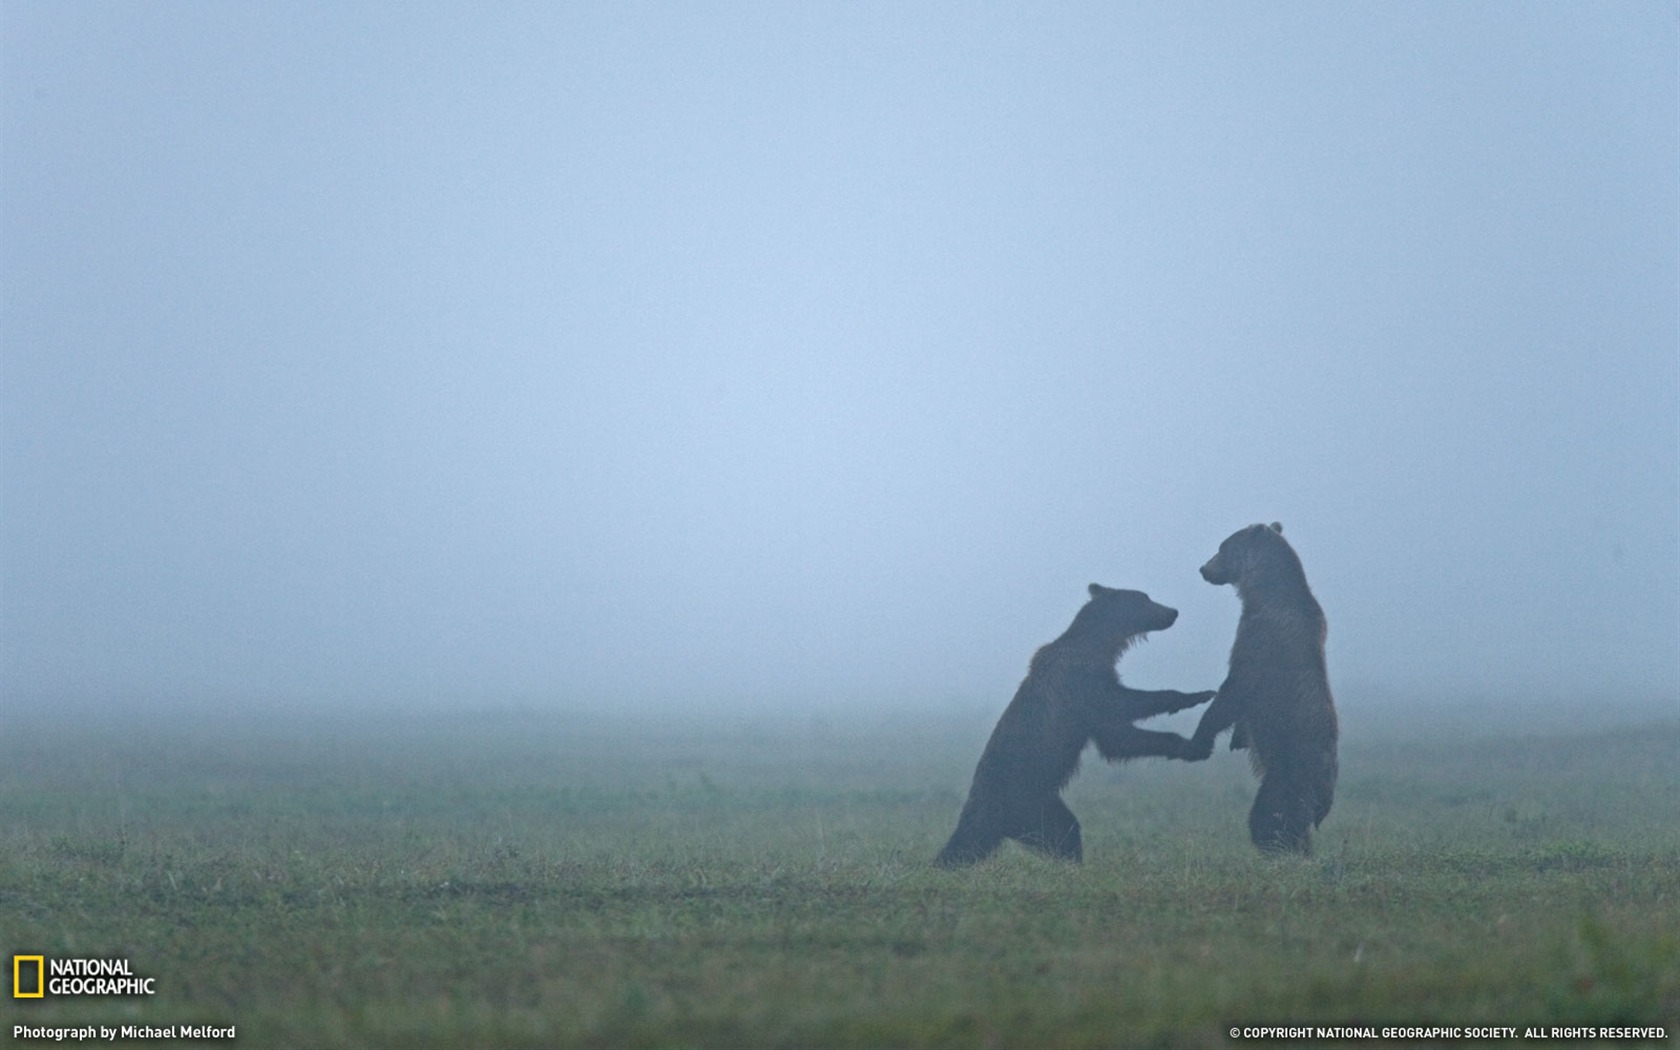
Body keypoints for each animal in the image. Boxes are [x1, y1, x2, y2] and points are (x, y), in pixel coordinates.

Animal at [934, 581, 1223, 866]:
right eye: (1145, 598)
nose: (1173, 611)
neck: (1101, 646)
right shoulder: (1082, 684)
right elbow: (1120, 711)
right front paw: (1196, 701)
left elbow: (1118, 739)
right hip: (1023, 799)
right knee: (1051, 833)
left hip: (1044, 802)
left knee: (1064, 828)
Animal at [1189, 520, 1344, 856]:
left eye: (1222, 547)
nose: (1203, 568)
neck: (1263, 593)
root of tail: (1325, 798)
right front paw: (1237, 738)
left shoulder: (1260, 637)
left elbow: (1234, 690)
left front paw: (1199, 738)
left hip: (1290, 771)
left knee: (1270, 816)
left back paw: (1281, 851)